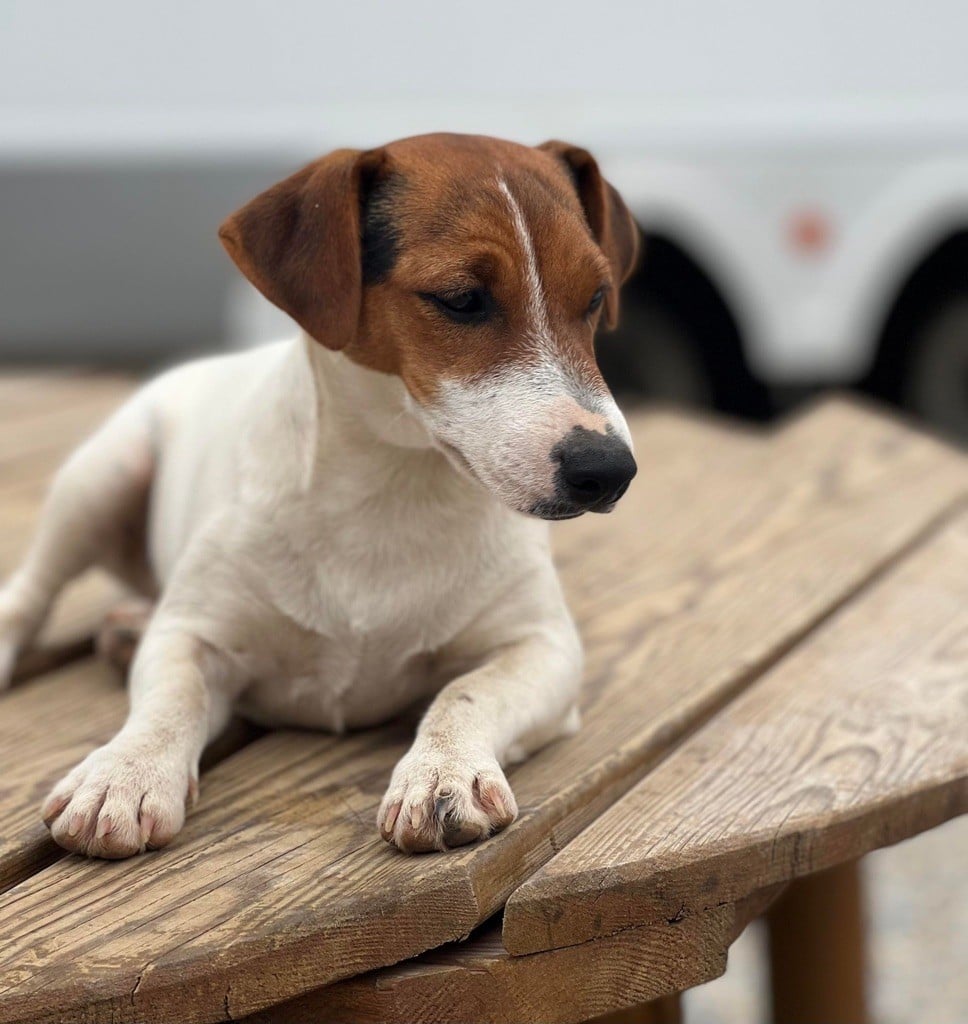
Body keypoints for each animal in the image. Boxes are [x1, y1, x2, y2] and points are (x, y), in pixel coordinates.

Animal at [0, 134, 639, 856]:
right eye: (461, 298)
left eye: (595, 296)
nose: (609, 470)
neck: (389, 490)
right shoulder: (191, 634)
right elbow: (171, 701)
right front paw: (124, 772)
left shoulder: (543, 648)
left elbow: (468, 693)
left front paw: (442, 770)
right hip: (101, 477)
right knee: (30, 593)